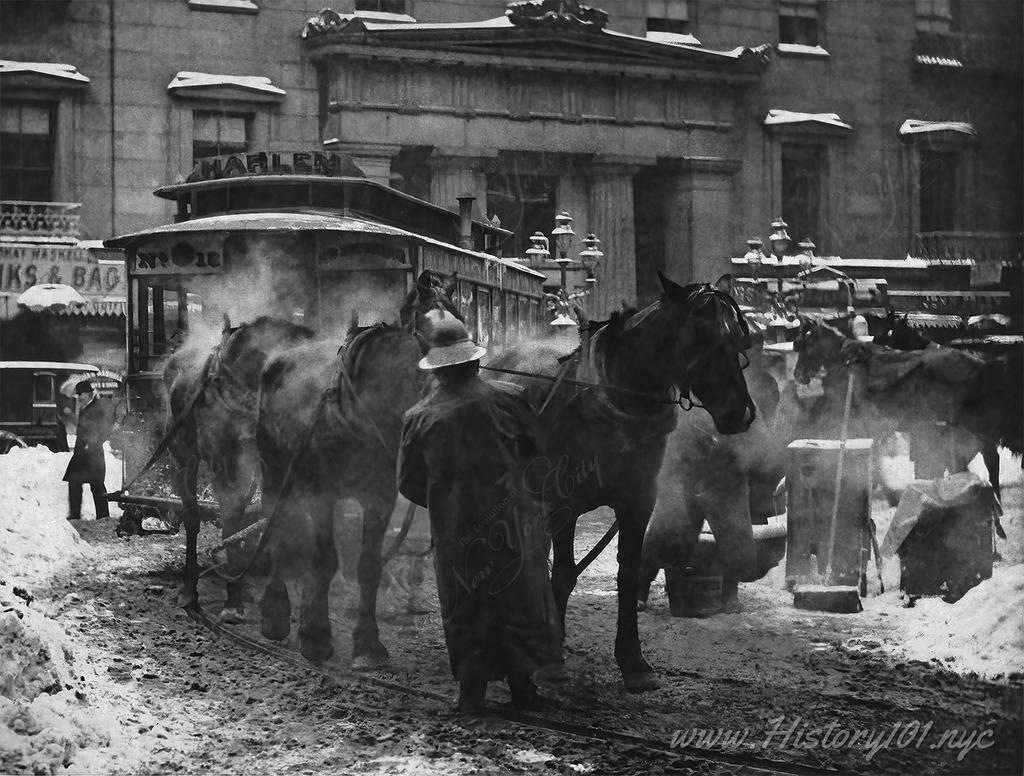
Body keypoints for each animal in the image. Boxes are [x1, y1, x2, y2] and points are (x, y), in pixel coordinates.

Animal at [163, 315, 313, 614]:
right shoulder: (224, 459)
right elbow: (230, 514)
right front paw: (232, 599)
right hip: (183, 455)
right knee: (193, 514)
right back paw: (191, 587)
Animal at [258, 270, 458, 667]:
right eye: (432, 329)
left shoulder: (378, 496)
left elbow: (368, 565)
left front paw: (367, 642)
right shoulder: (321, 493)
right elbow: (324, 559)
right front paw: (315, 637)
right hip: (275, 471)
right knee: (280, 529)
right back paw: (275, 611)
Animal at [487, 274, 753, 692]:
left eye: (739, 338)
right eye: (699, 336)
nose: (739, 413)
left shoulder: (637, 502)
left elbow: (628, 572)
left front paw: (633, 660)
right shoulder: (563, 505)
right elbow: (563, 574)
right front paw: (552, 661)